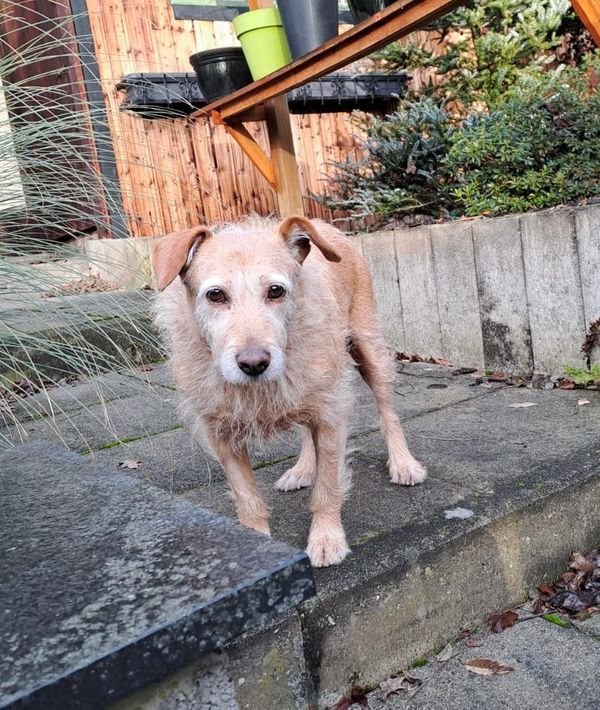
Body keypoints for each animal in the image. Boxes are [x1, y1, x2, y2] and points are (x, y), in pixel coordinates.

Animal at [152, 216, 425, 567]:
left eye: (275, 291)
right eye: (215, 295)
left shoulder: (331, 413)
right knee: (306, 430)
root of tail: (323, 223)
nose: (254, 363)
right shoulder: (221, 432)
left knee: (387, 410)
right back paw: (303, 469)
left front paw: (326, 538)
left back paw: (403, 463)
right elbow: (247, 498)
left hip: (368, 350)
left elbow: (327, 487)